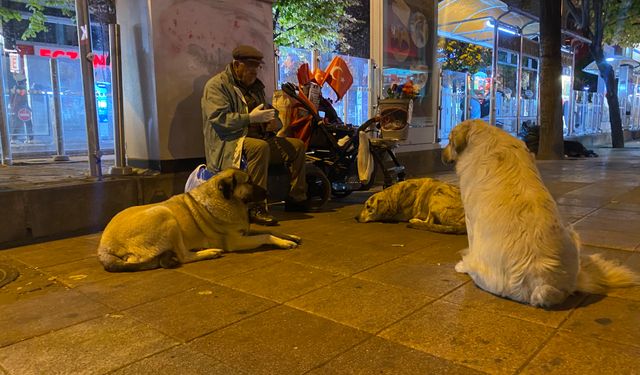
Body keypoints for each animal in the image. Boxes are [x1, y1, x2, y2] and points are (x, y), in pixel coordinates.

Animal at [98, 169, 302, 272]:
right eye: (249, 182)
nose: (267, 192)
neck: (226, 199)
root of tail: (104, 248)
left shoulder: (245, 232)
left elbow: (270, 230)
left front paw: (289, 235)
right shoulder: (236, 241)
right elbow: (266, 236)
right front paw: (284, 243)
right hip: (164, 214)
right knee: (184, 256)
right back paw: (209, 252)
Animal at [442, 120, 636, 308]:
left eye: (449, 141)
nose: (442, 156)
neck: (487, 135)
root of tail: (543, 283)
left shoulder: (470, 220)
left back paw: (463, 265)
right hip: (572, 234)